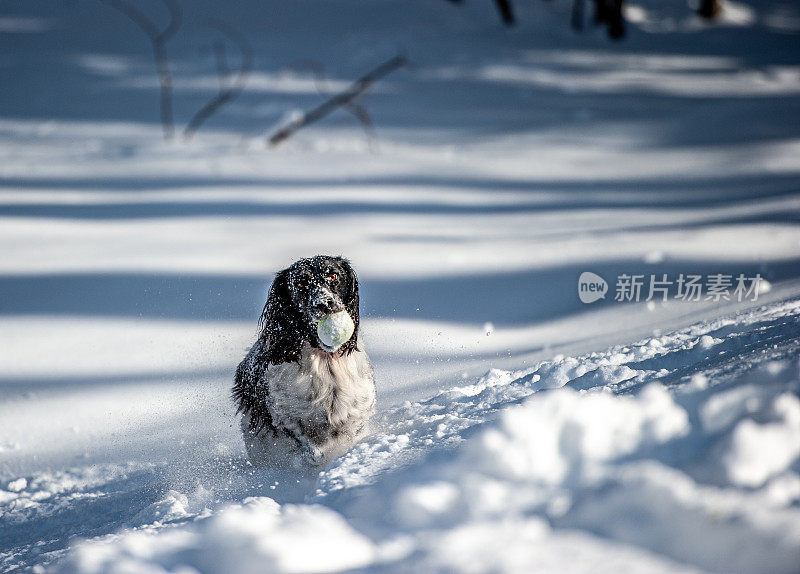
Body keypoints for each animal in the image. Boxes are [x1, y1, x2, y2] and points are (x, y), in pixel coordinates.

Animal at [231, 258, 376, 470]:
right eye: (300, 283)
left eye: (334, 276)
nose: (324, 303)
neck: (325, 360)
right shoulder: (285, 418)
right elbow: (310, 449)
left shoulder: (356, 415)